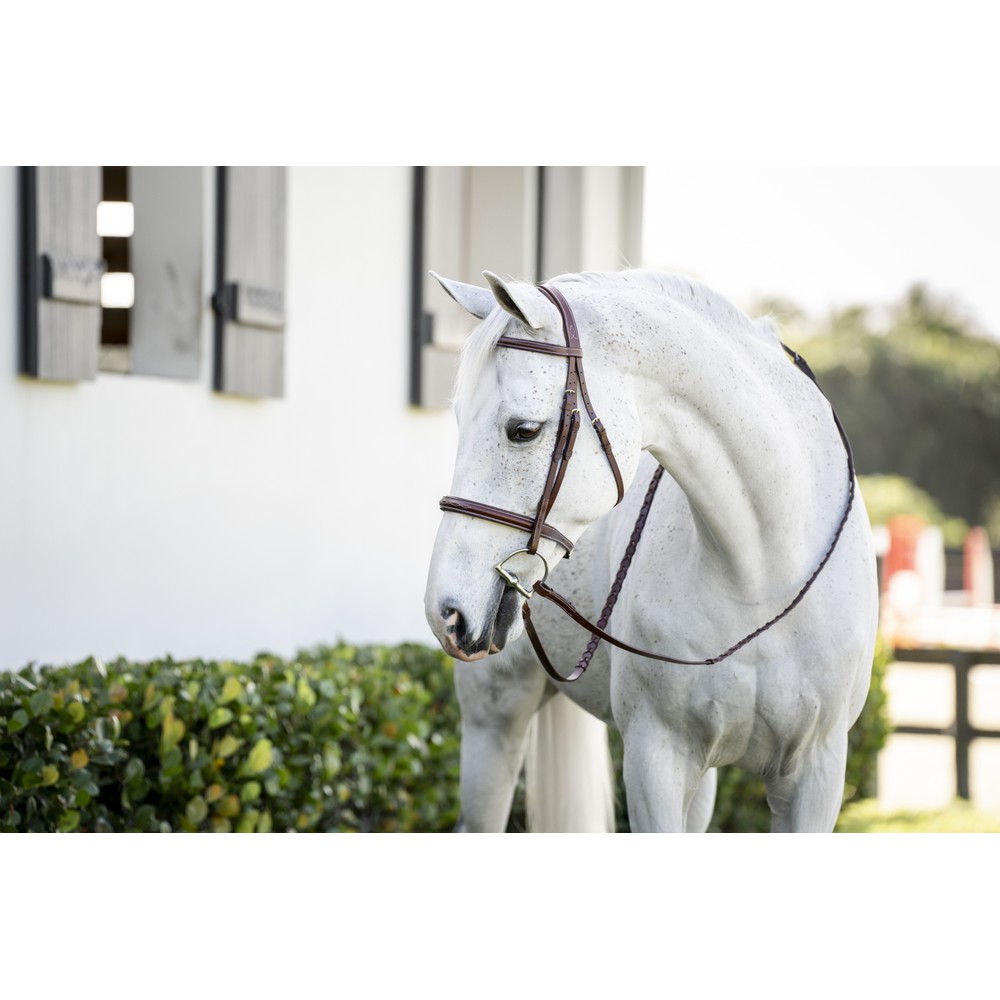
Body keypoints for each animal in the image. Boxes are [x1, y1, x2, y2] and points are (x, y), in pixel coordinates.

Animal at [424, 269, 879, 832]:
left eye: (523, 431)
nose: (446, 612)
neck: (761, 578)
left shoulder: (815, 776)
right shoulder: (656, 759)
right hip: (495, 719)